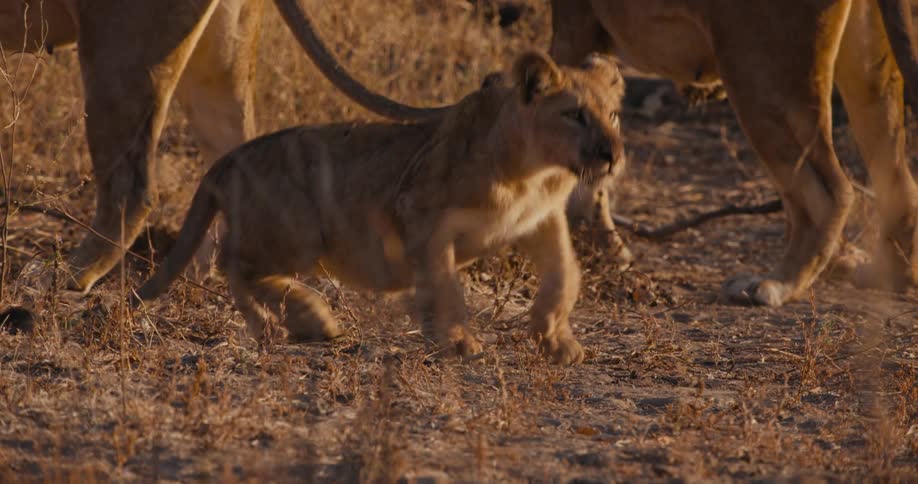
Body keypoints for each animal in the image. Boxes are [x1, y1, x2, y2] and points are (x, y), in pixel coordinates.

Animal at [136, 51, 626, 365]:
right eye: (574, 114)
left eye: (613, 115)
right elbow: (445, 285)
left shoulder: (541, 220)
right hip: (296, 232)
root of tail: (230, 158)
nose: (611, 155)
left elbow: (565, 274)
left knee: (238, 268)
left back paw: (300, 322)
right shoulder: (421, 214)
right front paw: (457, 341)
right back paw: (301, 319)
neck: (535, 174)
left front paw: (557, 341)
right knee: (234, 264)